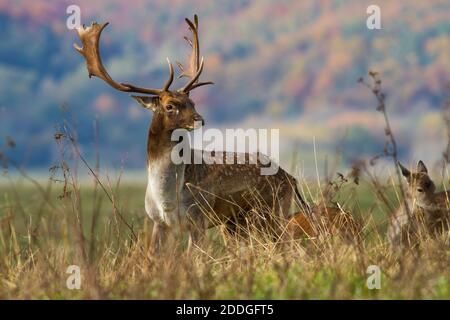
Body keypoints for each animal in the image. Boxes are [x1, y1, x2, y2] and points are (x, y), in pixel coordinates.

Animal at [74, 15, 306, 252]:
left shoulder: (198, 216)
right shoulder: (159, 222)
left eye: (192, 102)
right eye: (169, 105)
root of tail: (291, 178)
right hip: (236, 222)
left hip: (273, 211)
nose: (199, 119)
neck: (167, 199)